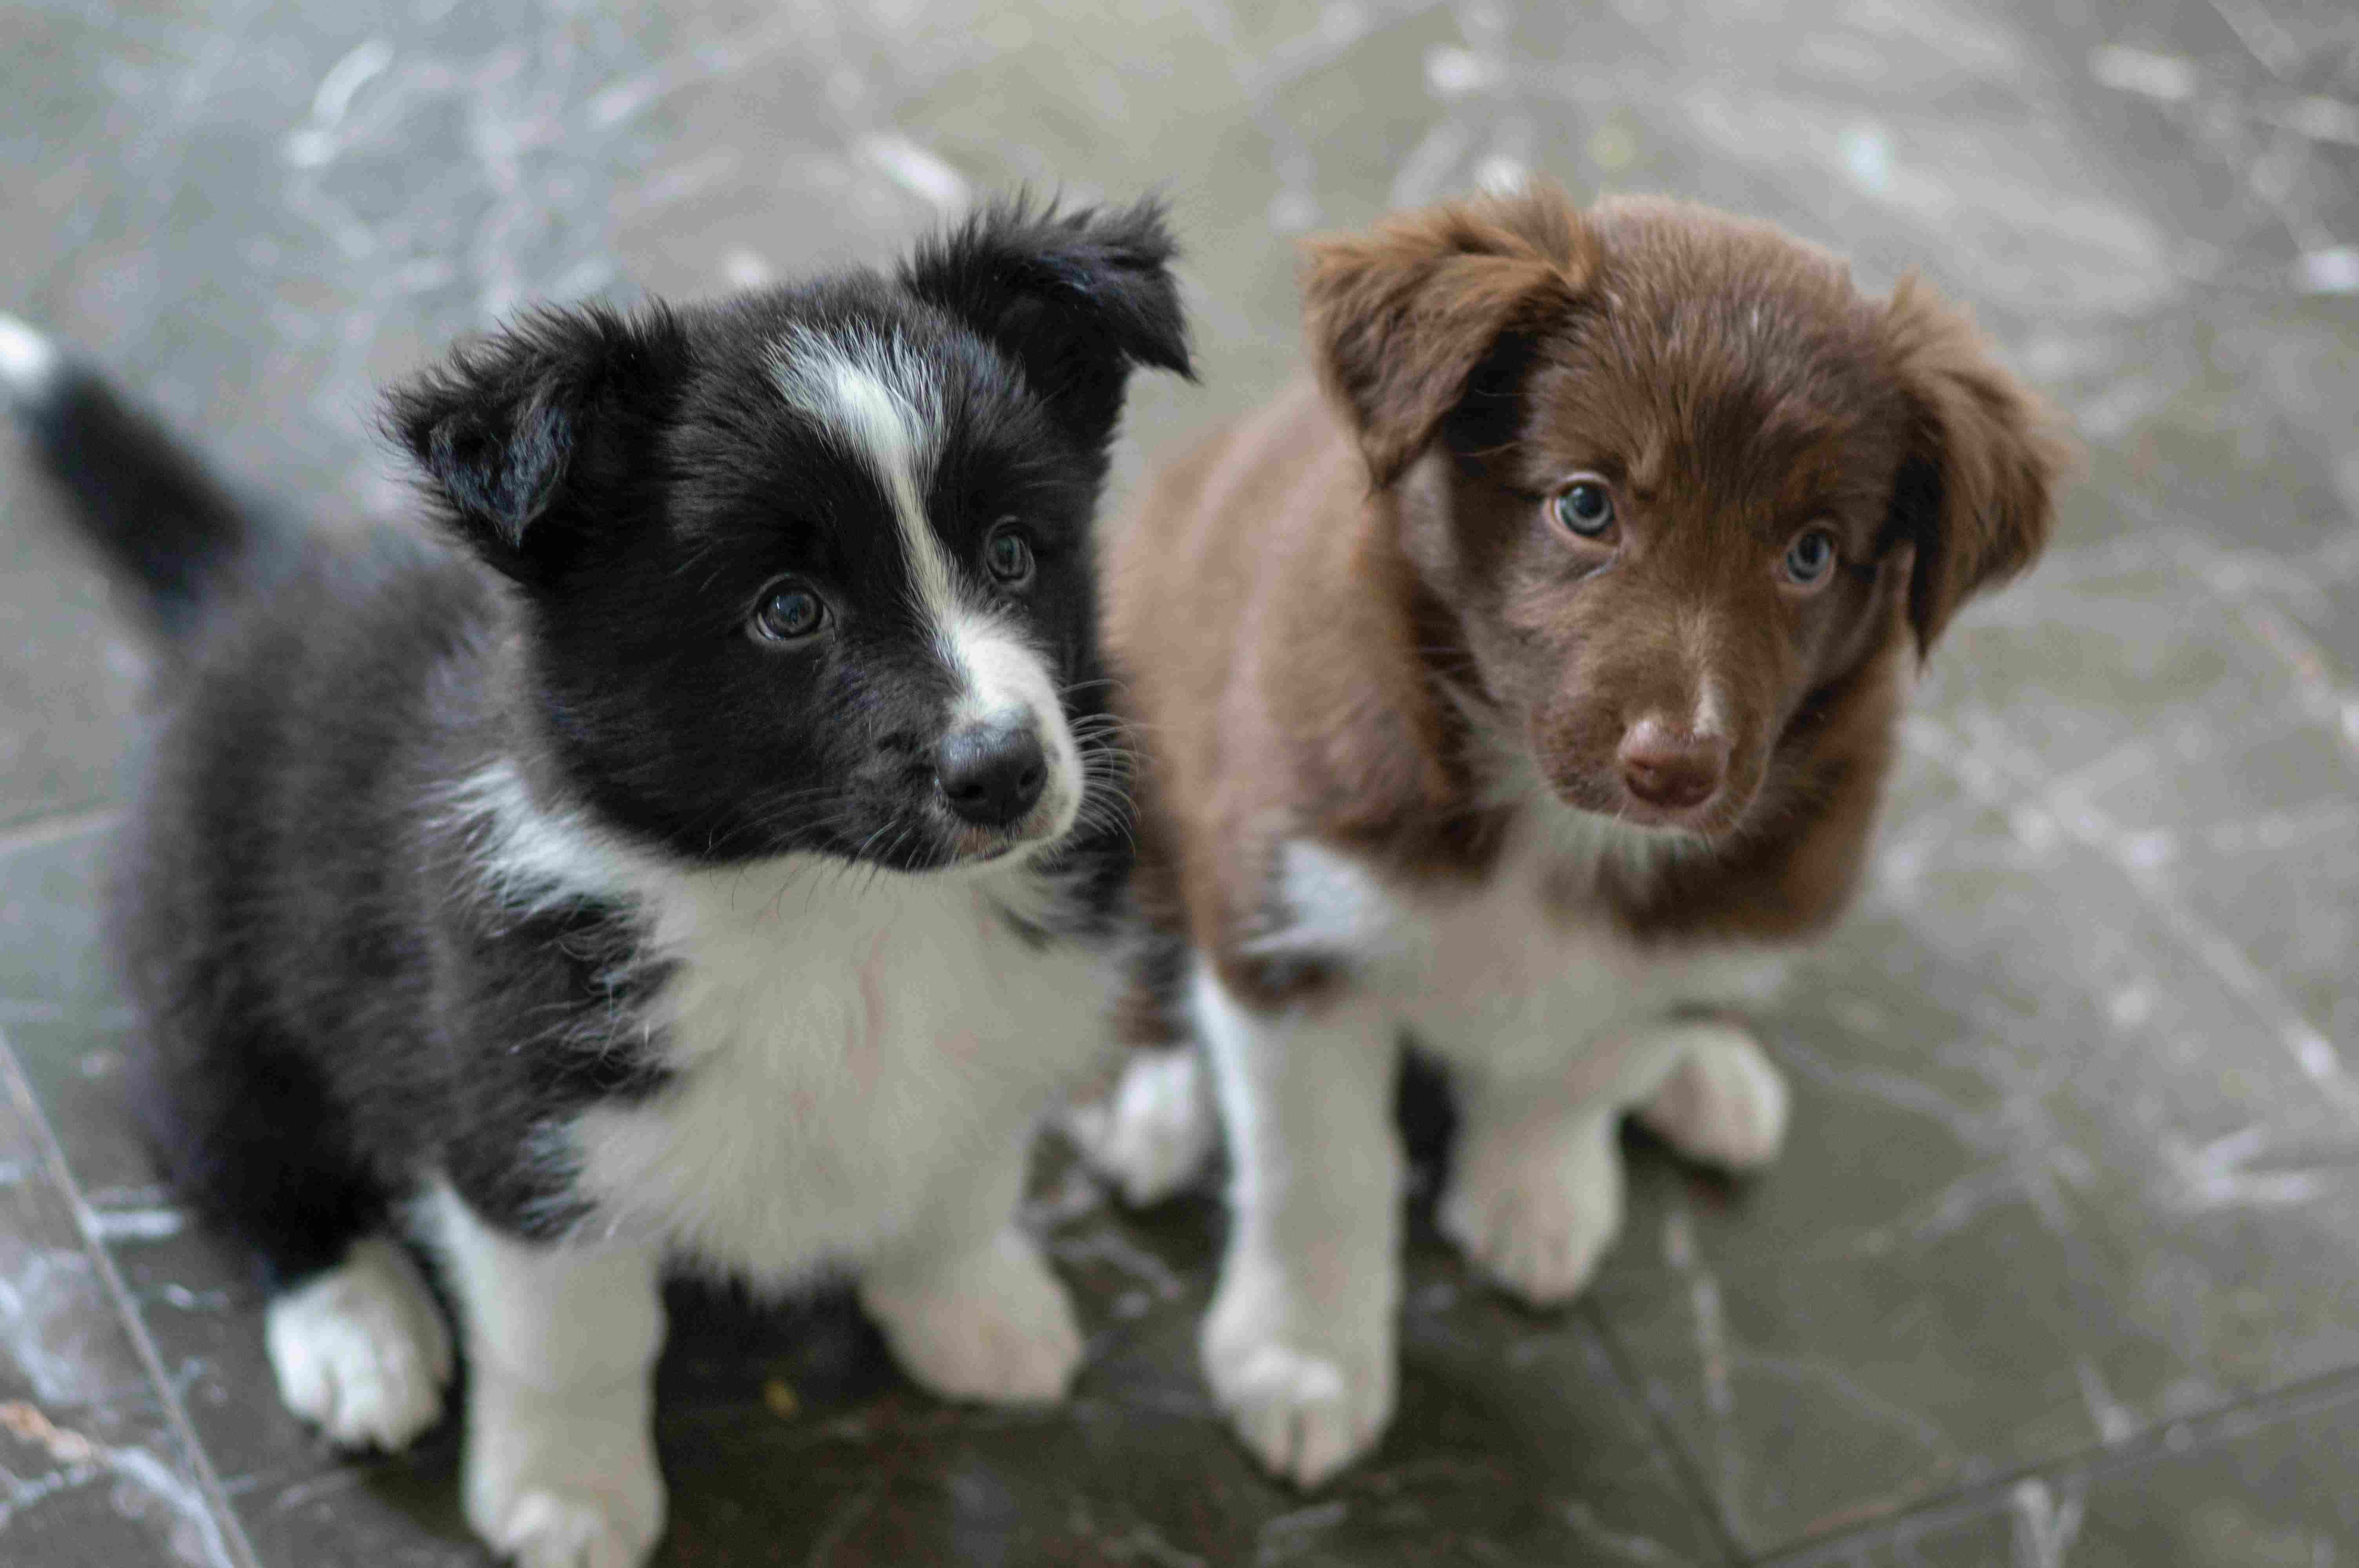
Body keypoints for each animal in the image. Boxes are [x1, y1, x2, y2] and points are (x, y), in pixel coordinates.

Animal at [0, 199, 1180, 1565]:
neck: (836, 908)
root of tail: (259, 585)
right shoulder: (515, 1117)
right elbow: (575, 1339)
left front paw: (982, 1317)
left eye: (1011, 553)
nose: (1005, 768)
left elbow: (958, 1189)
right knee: (227, 1142)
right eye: (789, 611)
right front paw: (566, 1501)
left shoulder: (1003, 1032)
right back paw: (358, 1333)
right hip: (212, 961)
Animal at [1080, 184, 2076, 1481]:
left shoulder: (1722, 902)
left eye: (1809, 553)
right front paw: (1304, 1362)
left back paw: (1710, 1071)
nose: (1676, 769)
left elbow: (1587, 1063)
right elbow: (1319, 1171)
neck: (1552, 828)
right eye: (1585, 505)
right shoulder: (1293, 915)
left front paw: (1534, 1194)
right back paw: (1150, 1100)